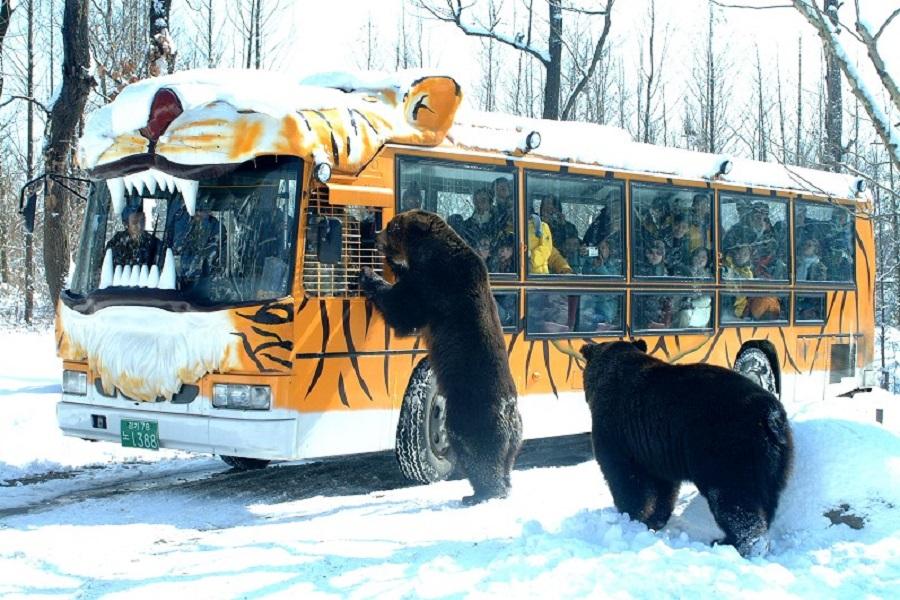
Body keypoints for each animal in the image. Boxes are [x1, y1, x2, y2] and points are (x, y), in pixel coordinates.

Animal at [360, 209, 524, 504]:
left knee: (479, 456)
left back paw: (480, 493)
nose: (375, 235)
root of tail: (509, 415)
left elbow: (404, 309)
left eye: (392, 226)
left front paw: (369, 275)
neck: (430, 251)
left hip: (470, 415)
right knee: (506, 462)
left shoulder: (437, 284)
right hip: (515, 438)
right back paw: (502, 486)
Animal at [580, 340, 792, 556]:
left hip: (727, 447)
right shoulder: (656, 448)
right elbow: (664, 488)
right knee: (766, 498)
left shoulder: (617, 433)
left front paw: (630, 518)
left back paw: (733, 543)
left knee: (734, 498)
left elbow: (625, 478)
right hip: (773, 460)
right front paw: (654, 520)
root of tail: (770, 414)